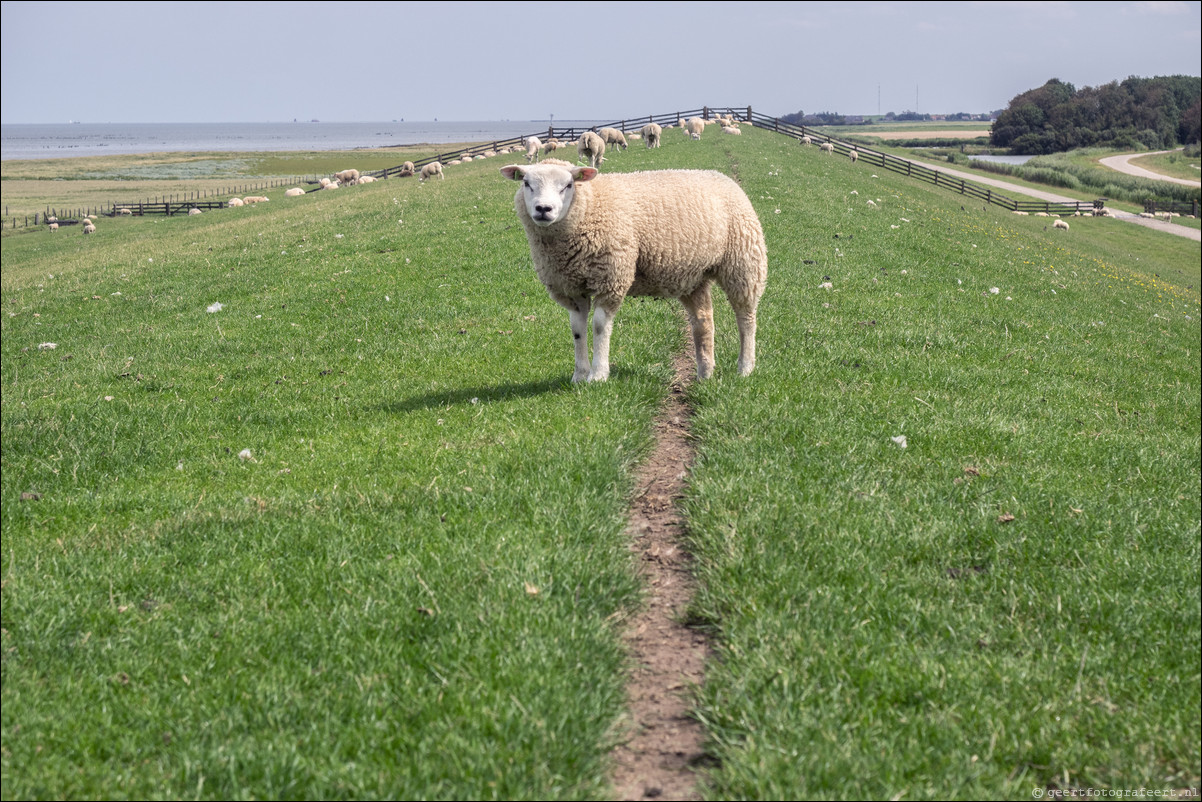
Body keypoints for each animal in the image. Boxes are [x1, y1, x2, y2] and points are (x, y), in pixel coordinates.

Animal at [500, 159, 764, 382]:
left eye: (568, 185)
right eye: (526, 183)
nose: (543, 209)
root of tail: (722, 177)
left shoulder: (612, 277)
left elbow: (599, 326)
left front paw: (598, 375)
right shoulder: (571, 288)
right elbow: (577, 330)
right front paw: (579, 375)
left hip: (744, 263)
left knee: (746, 318)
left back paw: (745, 367)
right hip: (692, 277)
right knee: (704, 320)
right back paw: (705, 372)